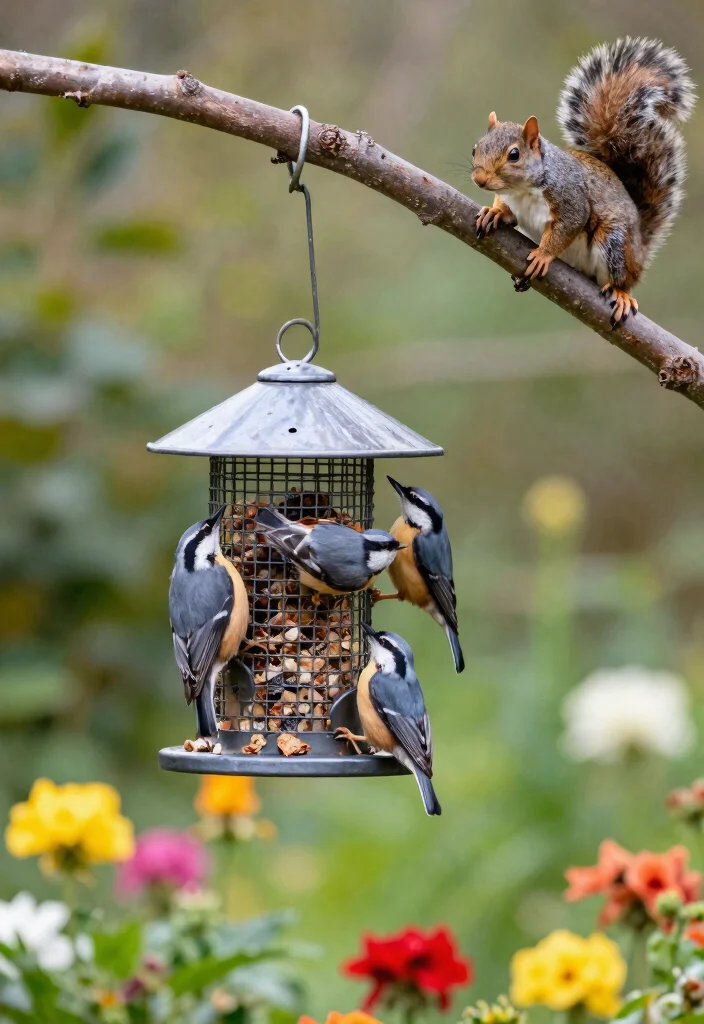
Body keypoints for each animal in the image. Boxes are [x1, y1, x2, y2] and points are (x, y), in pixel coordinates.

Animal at [471, 37, 696, 327]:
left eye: (514, 154)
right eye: (475, 149)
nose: (479, 179)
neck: (520, 190)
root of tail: (641, 249)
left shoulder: (571, 200)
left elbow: (567, 227)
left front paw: (543, 254)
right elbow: (507, 212)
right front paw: (494, 211)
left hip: (614, 242)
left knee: (623, 278)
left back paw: (622, 294)